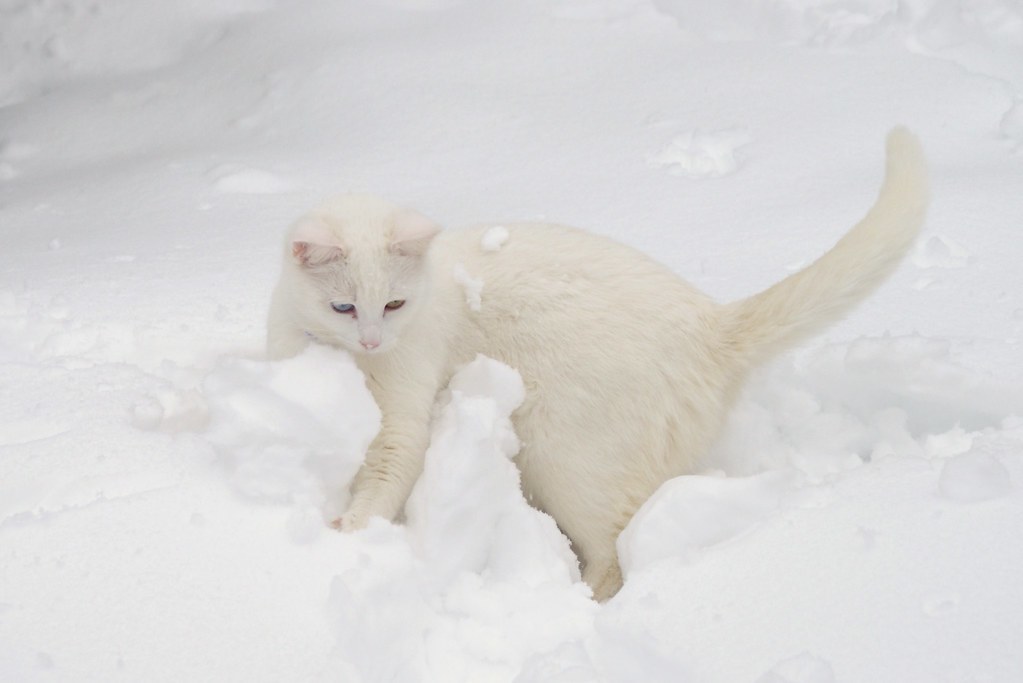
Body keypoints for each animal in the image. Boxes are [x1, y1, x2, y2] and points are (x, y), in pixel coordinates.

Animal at [263, 126, 928, 597]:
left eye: (394, 304)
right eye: (344, 306)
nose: (373, 340)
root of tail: (710, 321)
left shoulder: (403, 422)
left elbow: (383, 479)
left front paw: (349, 532)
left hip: (567, 460)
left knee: (614, 555)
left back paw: (571, 603)